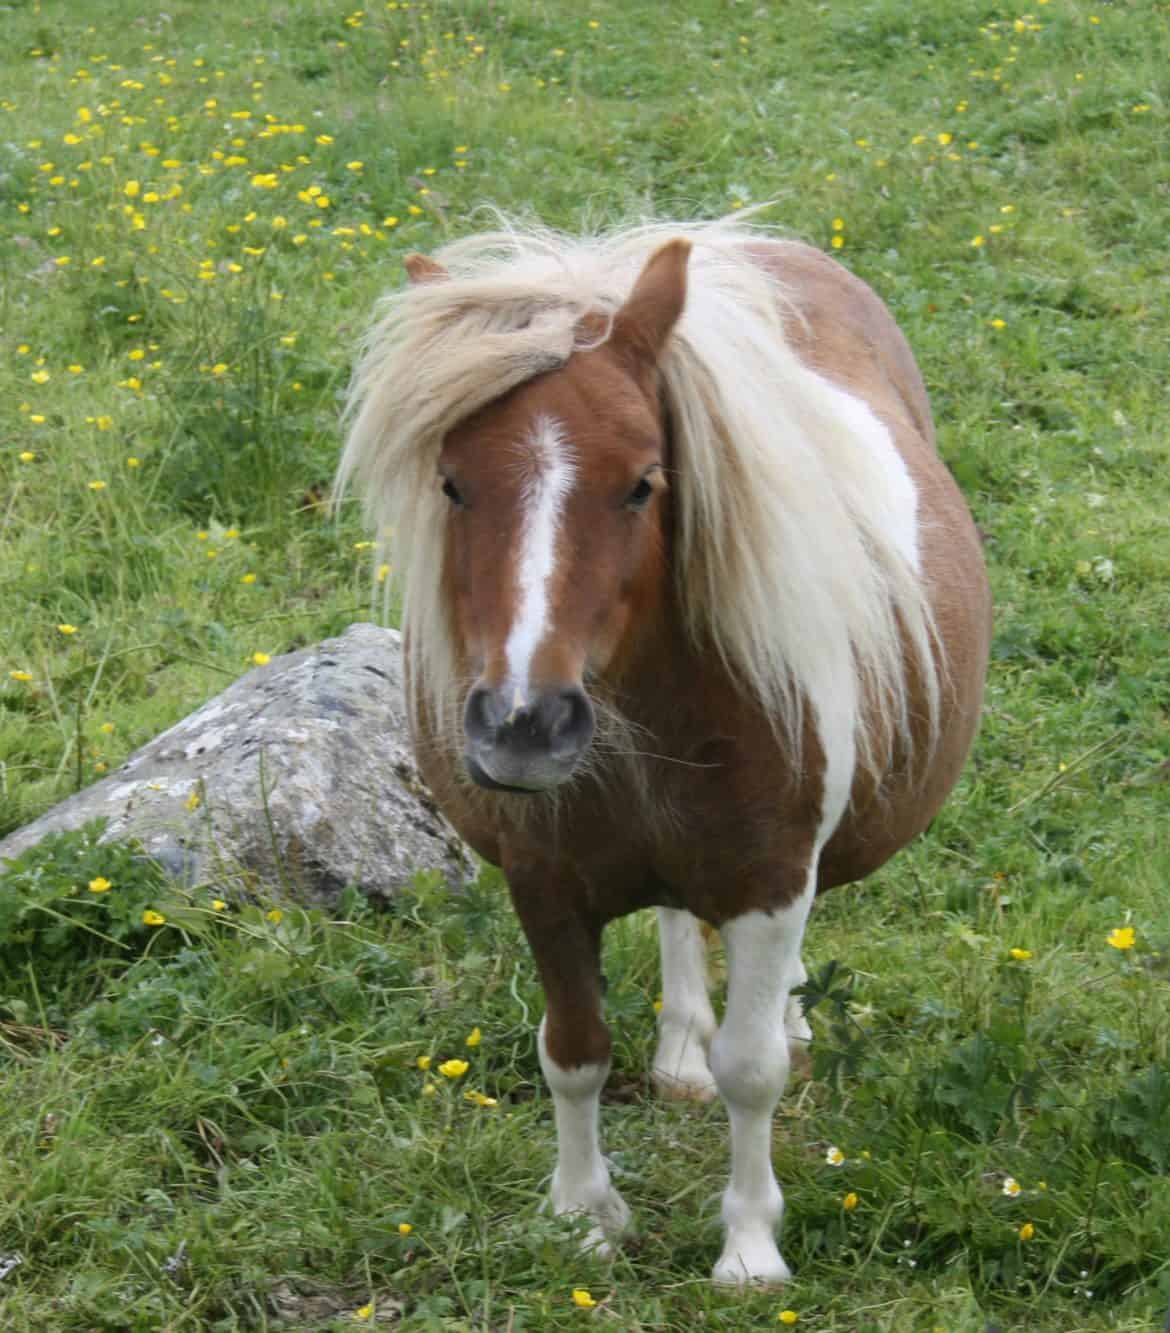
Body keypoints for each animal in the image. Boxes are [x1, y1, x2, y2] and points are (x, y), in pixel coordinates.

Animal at [337, 215, 991, 1279]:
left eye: (643, 483)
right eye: (452, 483)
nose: (524, 724)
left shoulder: (772, 882)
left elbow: (754, 1067)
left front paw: (750, 1250)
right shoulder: (543, 881)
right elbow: (573, 1051)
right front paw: (583, 1215)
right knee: (681, 923)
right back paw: (681, 1047)